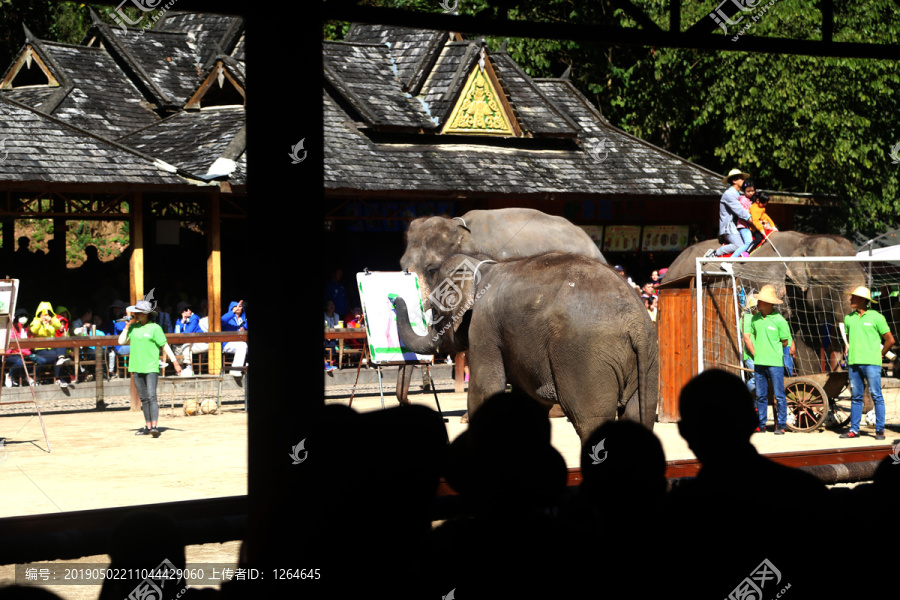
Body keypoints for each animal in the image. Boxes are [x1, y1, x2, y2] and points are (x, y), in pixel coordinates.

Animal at [390, 251, 656, 442]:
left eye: (435, 311)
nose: (394, 298)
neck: (482, 265)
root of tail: (635, 320)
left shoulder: (484, 327)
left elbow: (485, 390)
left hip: (586, 358)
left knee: (590, 419)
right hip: (647, 359)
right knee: (639, 414)